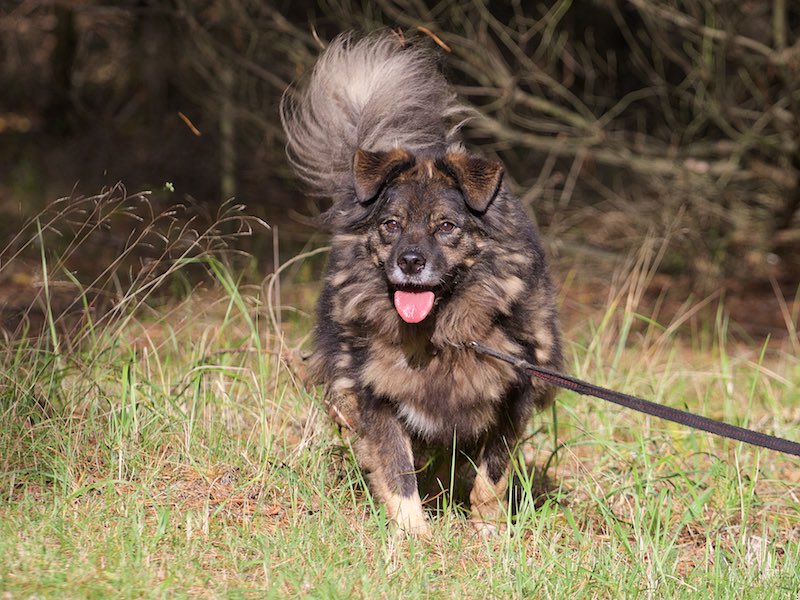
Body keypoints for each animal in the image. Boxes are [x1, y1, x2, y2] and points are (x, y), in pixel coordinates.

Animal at [281, 31, 563, 536]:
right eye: (390, 225)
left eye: (447, 227)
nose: (410, 262)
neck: (437, 335)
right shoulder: (376, 393)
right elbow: (396, 466)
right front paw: (412, 534)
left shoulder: (513, 394)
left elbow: (491, 475)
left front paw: (488, 531)